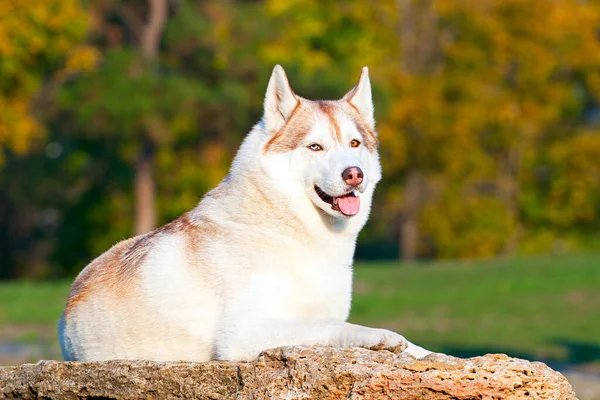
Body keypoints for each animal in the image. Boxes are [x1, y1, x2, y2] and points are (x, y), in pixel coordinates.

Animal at [58, 64, 428, 360]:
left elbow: (415, 347)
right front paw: (379, 336)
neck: (288, 231)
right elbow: (332, 324)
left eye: (354, 144)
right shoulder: (244, 333)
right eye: (315, 147)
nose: (354, 174)